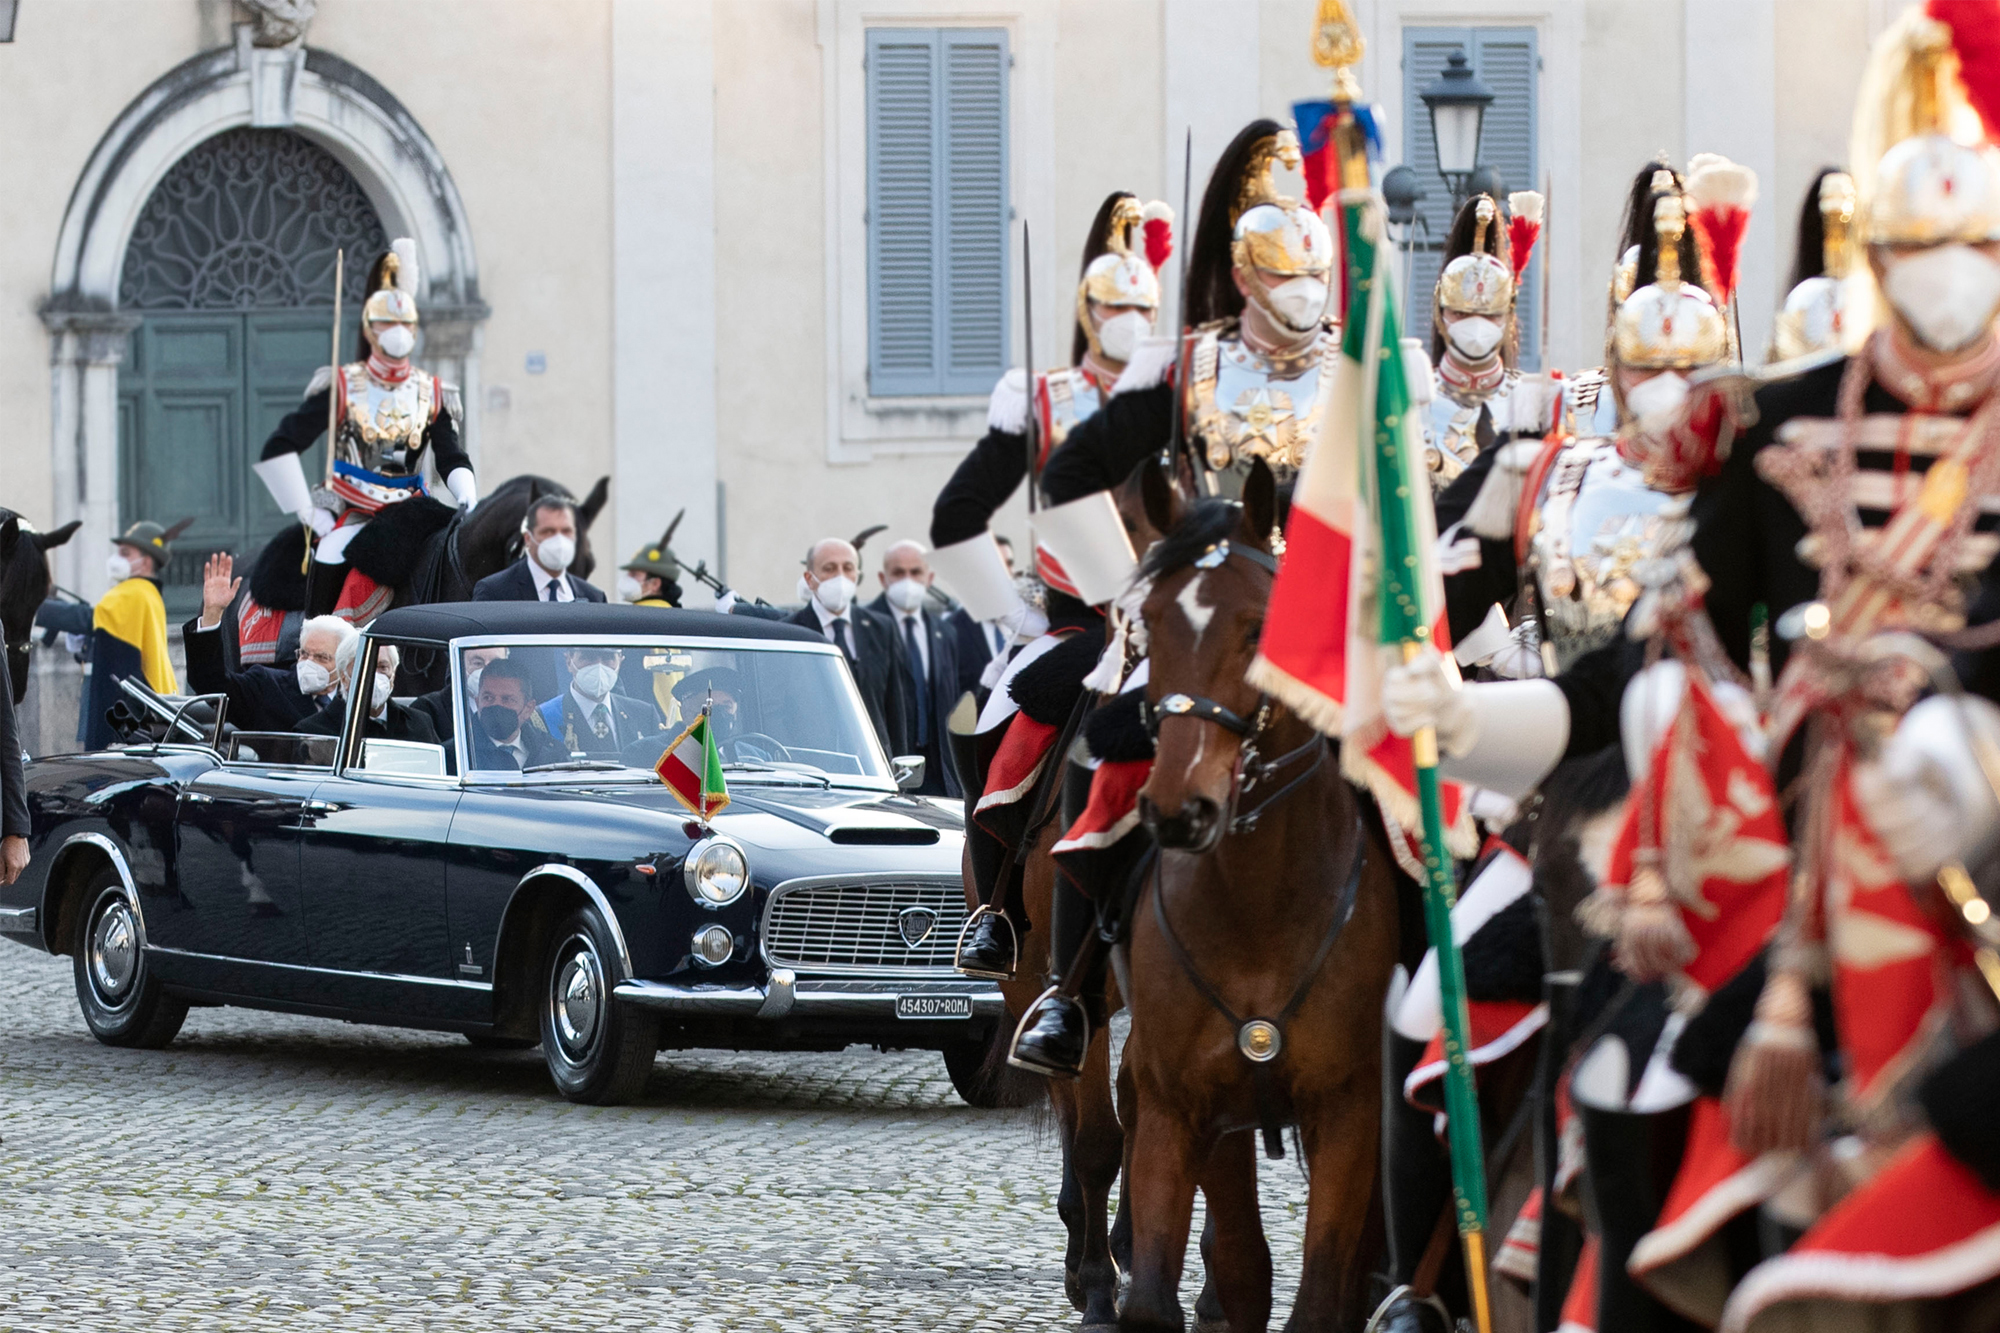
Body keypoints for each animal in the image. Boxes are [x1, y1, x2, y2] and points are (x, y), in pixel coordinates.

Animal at [1120, 462, 1400, 1320]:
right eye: (1150, 623)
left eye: (1258, 628)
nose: (1180, 809)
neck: (1257, 910)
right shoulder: (1181, 1110)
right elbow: (1183, 1285)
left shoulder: (1349, 1112)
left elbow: (1321, 1294)